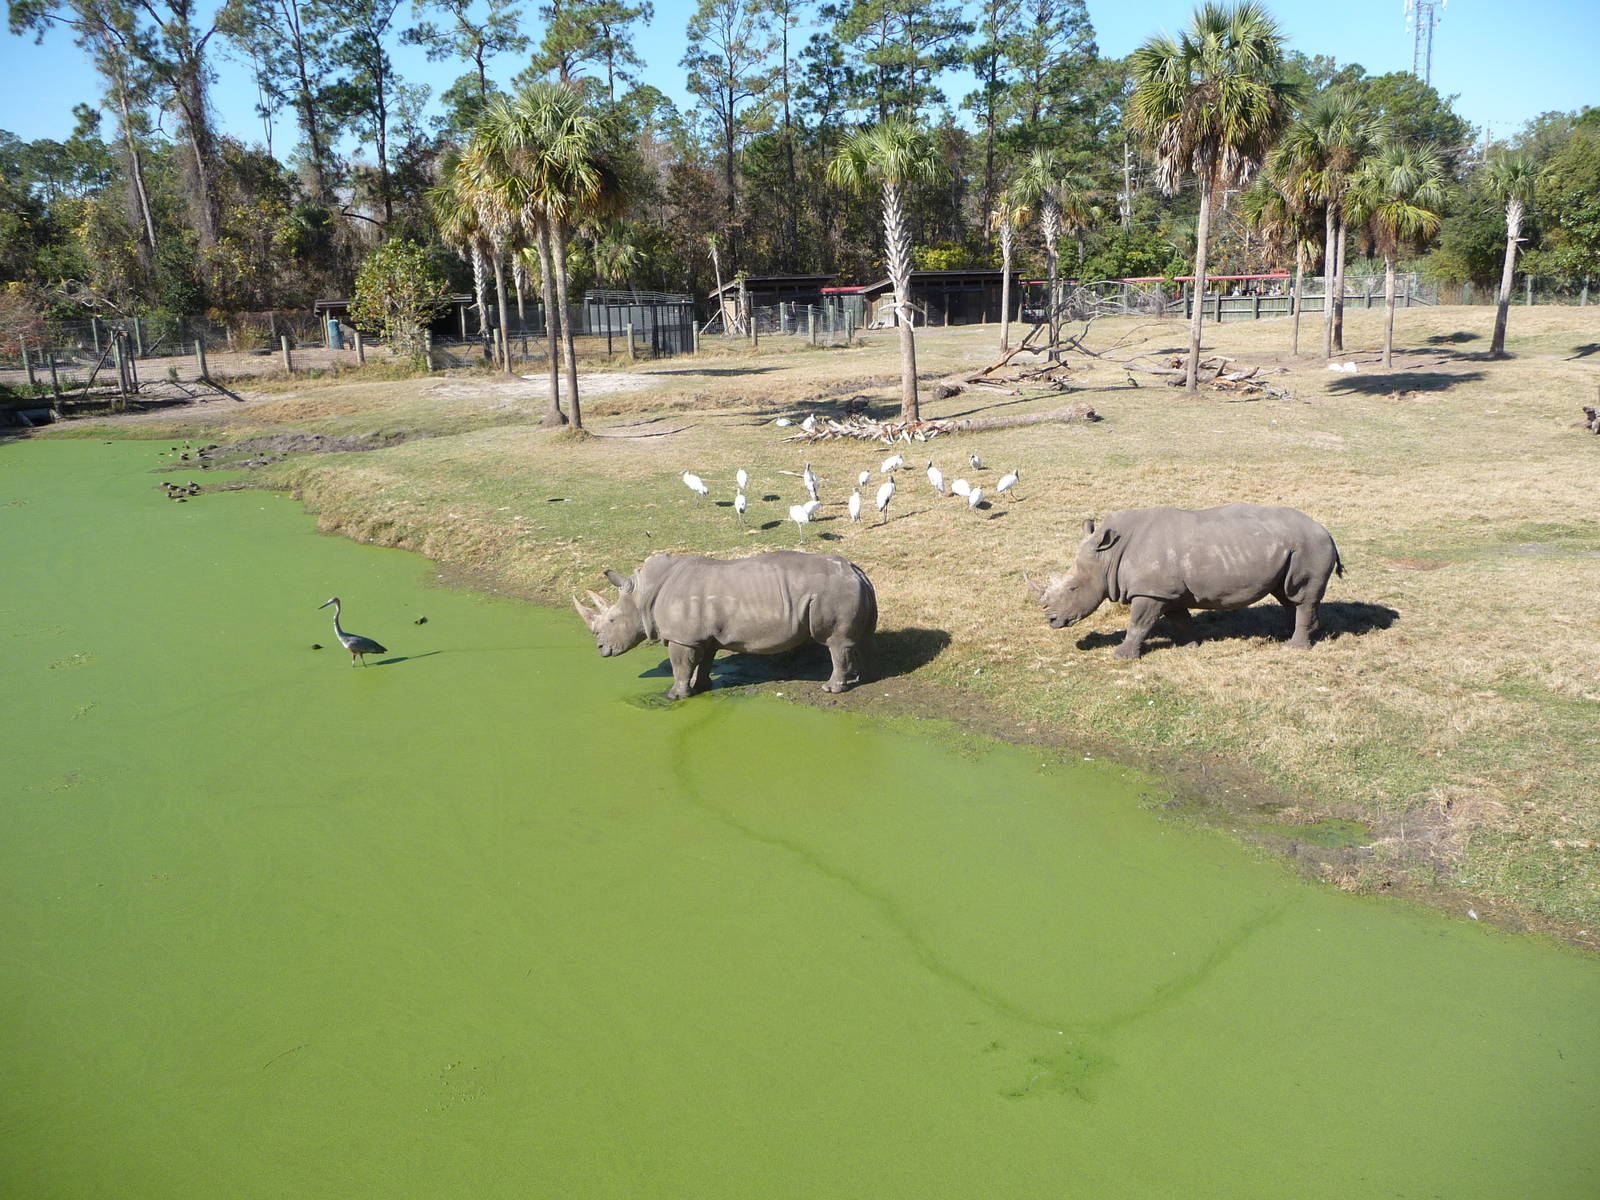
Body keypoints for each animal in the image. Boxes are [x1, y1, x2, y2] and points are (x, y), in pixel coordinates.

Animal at [573, 550, 878, 699]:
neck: (643, 594)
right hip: (850, 586)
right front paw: (702, 687)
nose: (600, 648)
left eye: (612, 620)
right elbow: (703, 662)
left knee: (834, 643)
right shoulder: (702, 637)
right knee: (857, 640)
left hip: (833, 591)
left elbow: (680, 665)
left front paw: (674, 695)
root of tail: (856, 570)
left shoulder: (682, 637)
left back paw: (831, 689)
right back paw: (858, 679)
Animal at [1029, 503, 1344, 659]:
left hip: (1310, 546)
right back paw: (1293, 634)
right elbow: (1180, 619)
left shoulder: (1151, 592)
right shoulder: (1167, 592)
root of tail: (1327, 531)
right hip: (1294, 548)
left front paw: (1121, 657)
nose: (1052, 620)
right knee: (1288, 595)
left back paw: (1294, 649)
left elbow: (1138, 624)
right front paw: (1189, 647)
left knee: (1300, 595)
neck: (1108, 555)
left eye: (1073, 588)